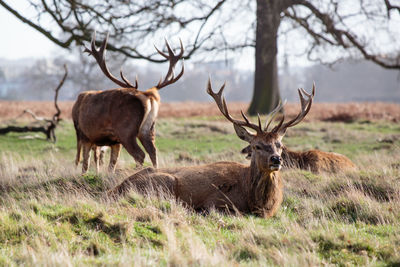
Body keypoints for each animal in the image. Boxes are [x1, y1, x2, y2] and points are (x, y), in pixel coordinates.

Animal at [72, 31, 184, 174]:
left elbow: (85, 163)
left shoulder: (85, 135)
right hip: (148, 129)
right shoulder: (114, 142)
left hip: (126, 130)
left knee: (140, 154)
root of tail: (146, 95)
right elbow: (111, 165)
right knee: (153, 151)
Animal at [109, 80, 316, 219]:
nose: (276, 159)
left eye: (279, 145)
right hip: (165, 182)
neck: (256, 201)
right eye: (256, 146)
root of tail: (114, 190)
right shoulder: (216, 201)